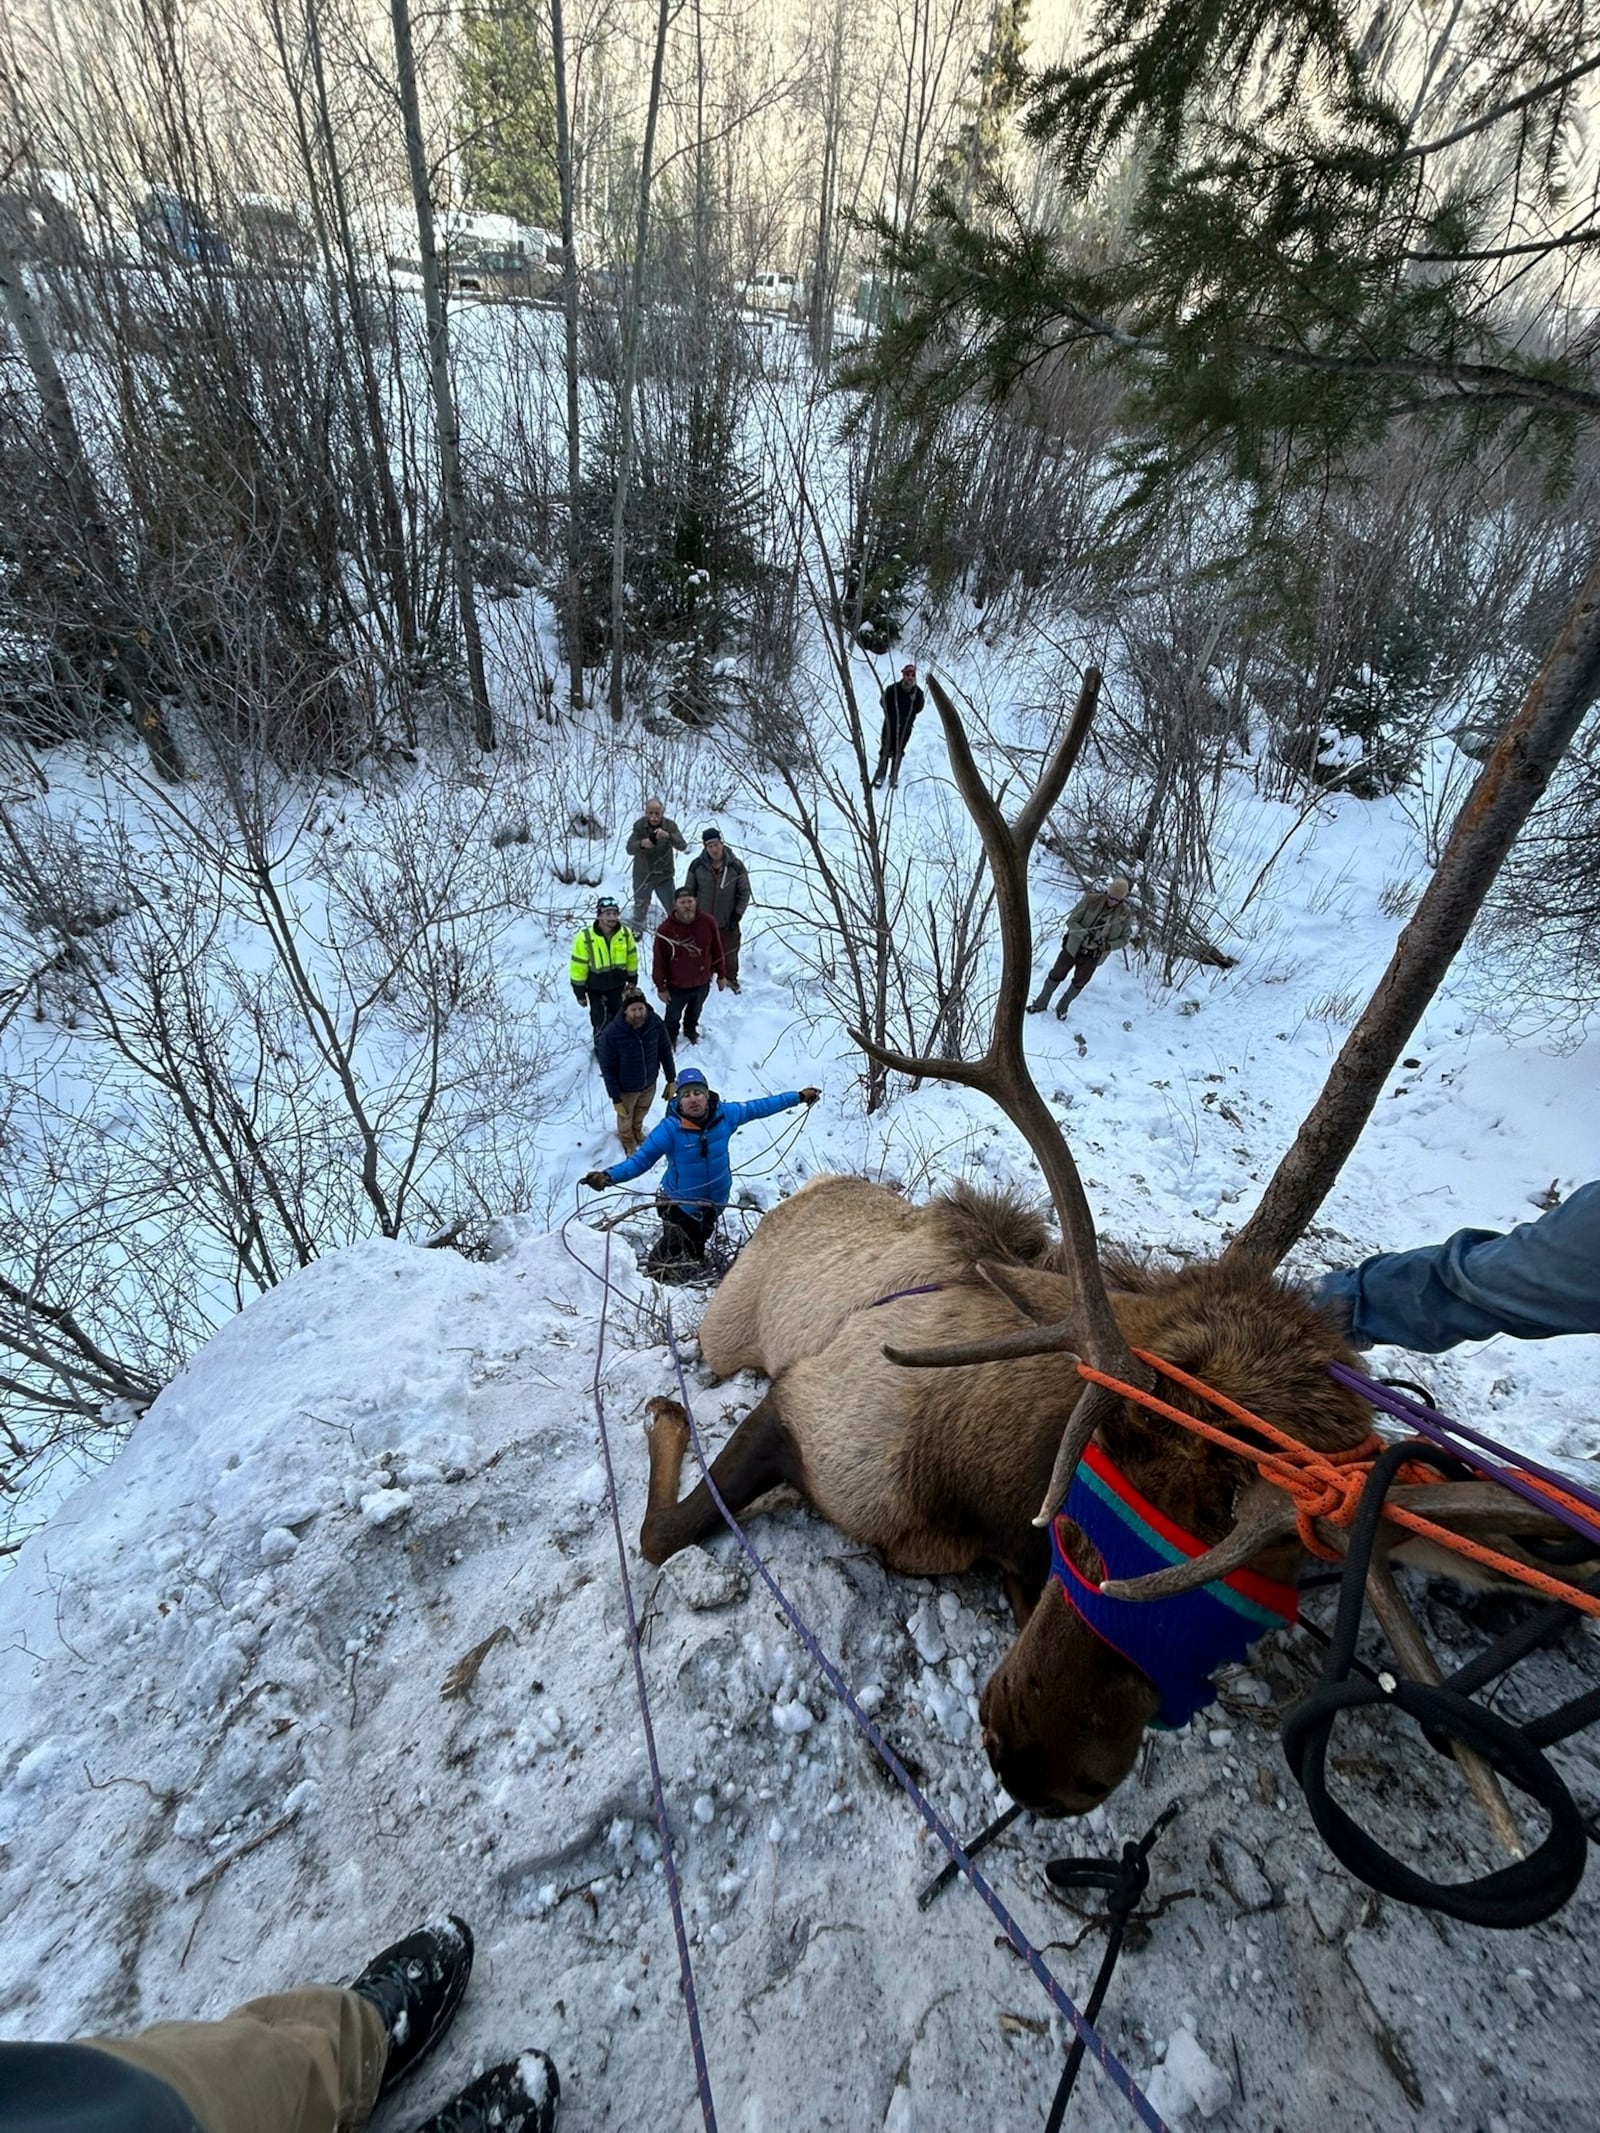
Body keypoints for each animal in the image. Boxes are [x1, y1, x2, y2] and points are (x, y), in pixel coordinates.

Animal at [640, 682, 1595, 1834]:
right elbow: (663, 1530)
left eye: (1280, 1587)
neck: (971, 1480)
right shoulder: (810, 1406)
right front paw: (663, 1422)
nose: (1039, 1764)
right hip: (728, 1325)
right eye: (1088, 1506)